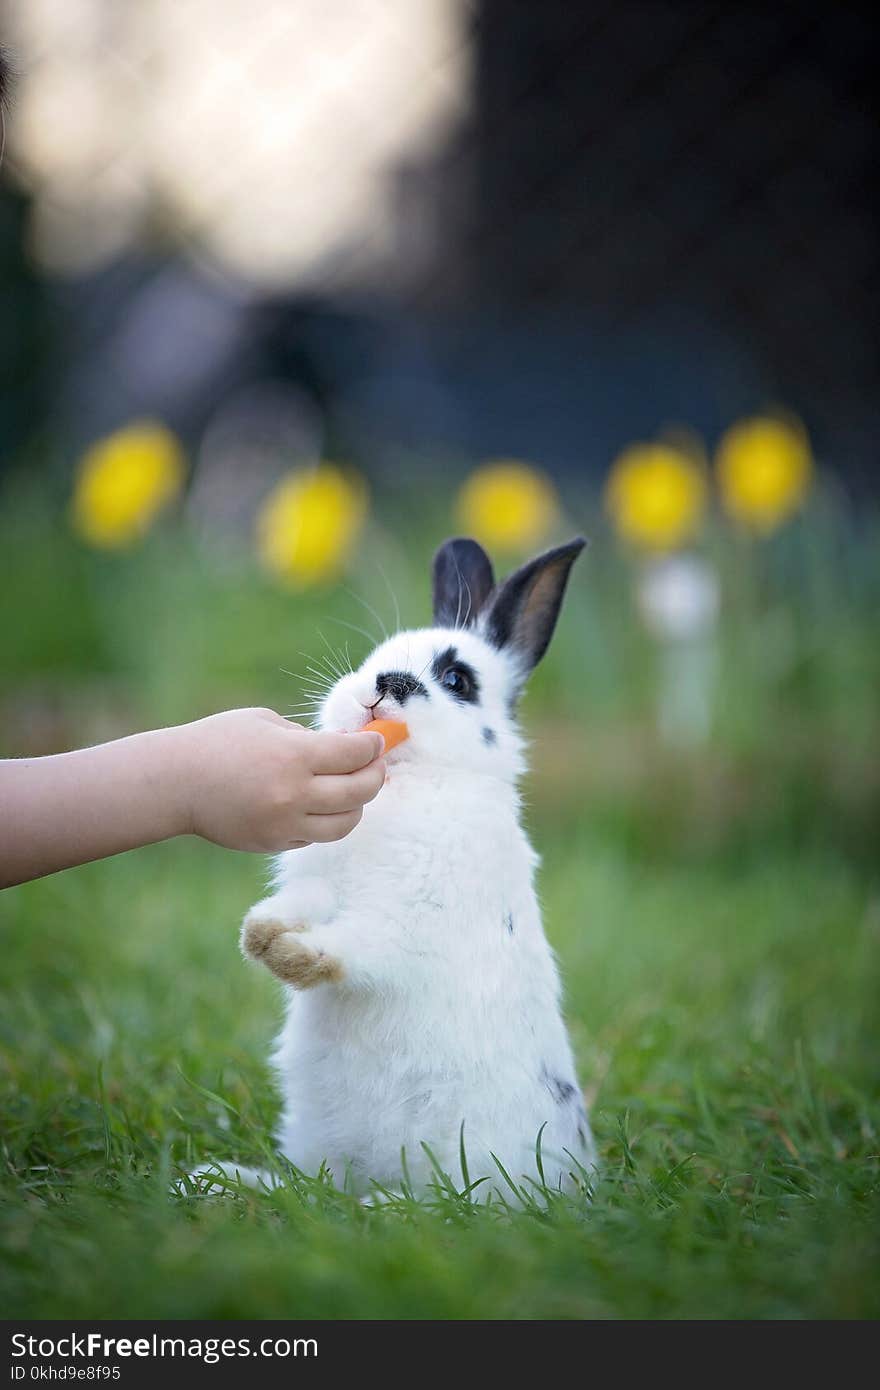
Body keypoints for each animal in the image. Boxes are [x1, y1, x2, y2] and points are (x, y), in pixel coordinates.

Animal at [221, 536, 597, 1200]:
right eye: (379, 655)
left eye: (456, 679)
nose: (384, 683)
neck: (408, 780)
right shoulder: (320, 884)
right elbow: (297, 908)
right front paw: (261, 936)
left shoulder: (408, 919)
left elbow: (359, 945)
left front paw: (297, 959)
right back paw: (222, 1181)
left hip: (471, 1155)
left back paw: (384, 1205)